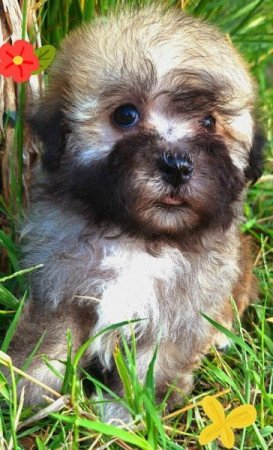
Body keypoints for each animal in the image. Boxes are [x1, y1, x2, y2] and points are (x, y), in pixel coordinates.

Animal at [9, 4, 262, 418]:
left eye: (209, 121)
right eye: (125, 115)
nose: (177, 166)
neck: (141, 236)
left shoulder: (179, 312)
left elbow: (153, 363)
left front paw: (128, 411)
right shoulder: (63, 284)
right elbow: (51, 337)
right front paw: (25, 389)